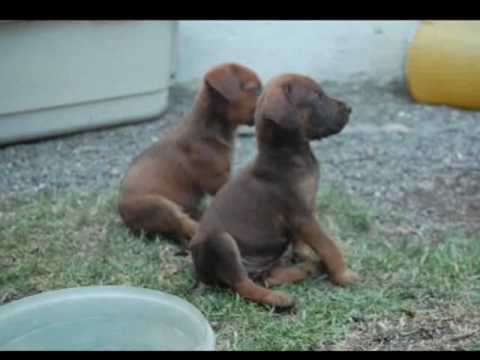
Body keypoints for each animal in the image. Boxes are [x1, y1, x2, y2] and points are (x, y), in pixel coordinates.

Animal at [119, 63, 262, 249]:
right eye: (254, 89)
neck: (210, 128)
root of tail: (123, 216)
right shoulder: (215, 179)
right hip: (158, 205)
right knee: (185, 225)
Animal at [190, 74, 360, 310]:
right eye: (317, 96)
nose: (350, 108)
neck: (288, 154)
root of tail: (200, 274)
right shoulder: (301, 215)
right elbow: (328, 246)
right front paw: (343, 274)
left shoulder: (304, 213)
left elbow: (303, 241)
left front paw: (304, 254)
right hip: (220, 241)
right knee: (243, 284)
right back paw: (278, 298)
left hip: (264, 260)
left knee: (268, 277)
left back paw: (305, 269)